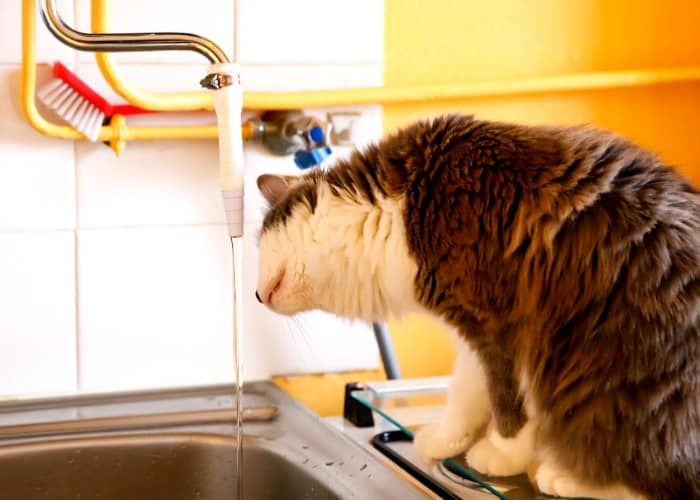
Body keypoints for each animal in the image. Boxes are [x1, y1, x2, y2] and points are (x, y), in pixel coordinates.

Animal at [256, 114, 700, 500]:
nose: (257, 296)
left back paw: (564, 476)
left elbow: (508, 403)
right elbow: (467, 391)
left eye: (257, 247)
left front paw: (503, 454)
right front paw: (445, 439)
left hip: (606, 375)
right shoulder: (469, 327)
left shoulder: (496, 324)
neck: (394, 211)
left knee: (657, 481)